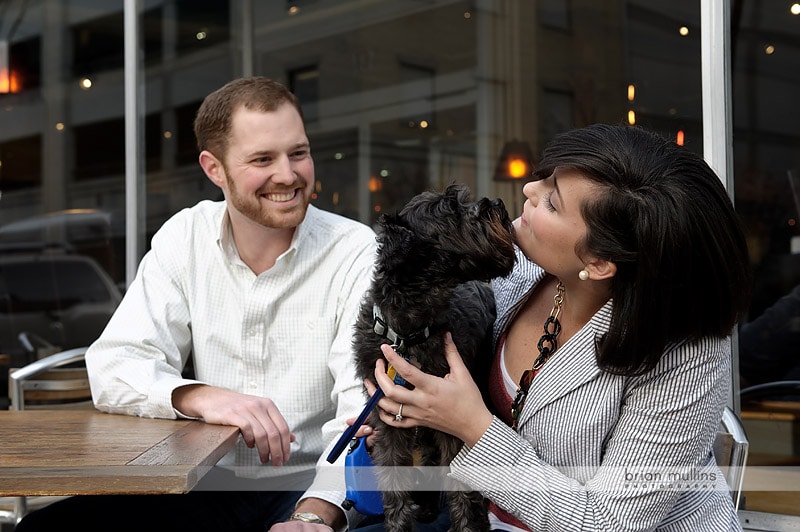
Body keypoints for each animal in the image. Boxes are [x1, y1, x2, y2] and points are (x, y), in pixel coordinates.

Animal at [354, 184, 516, 532]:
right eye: (452, 211)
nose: (498, 203)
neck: (409, 333)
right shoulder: (387, 419)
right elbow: (394, 483)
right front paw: (399, 526)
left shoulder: (453, 417)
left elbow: (461, 483)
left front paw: (468, 527)